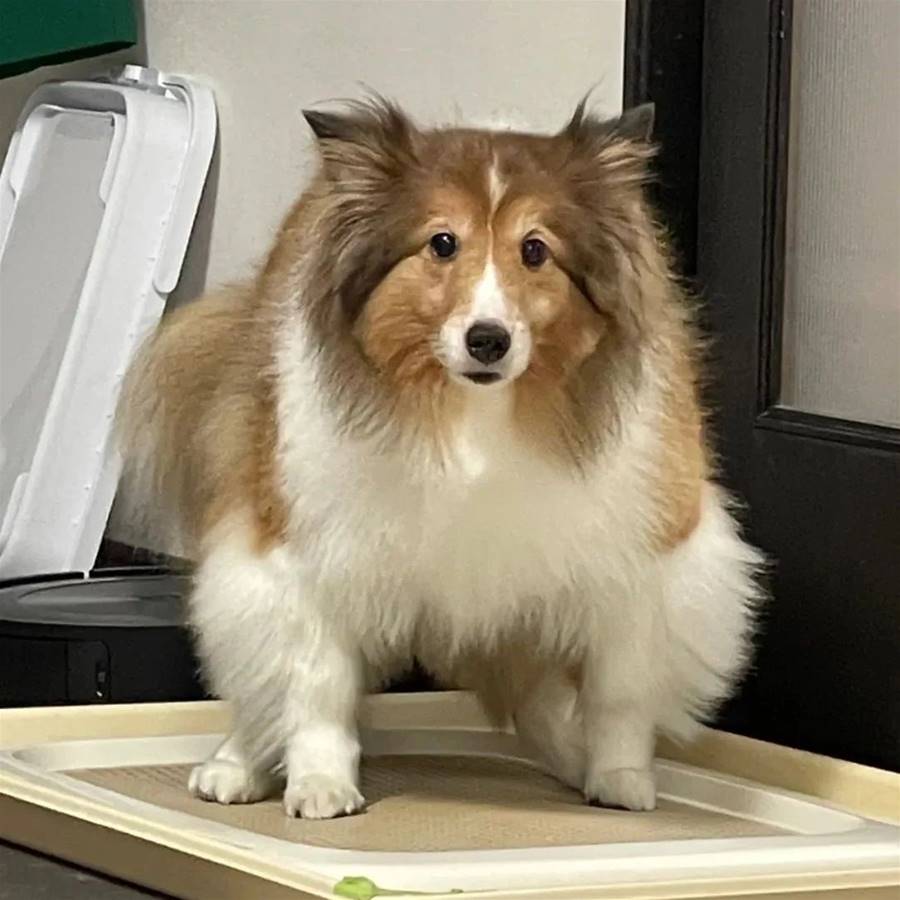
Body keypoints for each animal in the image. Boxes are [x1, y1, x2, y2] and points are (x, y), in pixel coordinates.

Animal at [116, 96, 761, 818]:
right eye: (442, 243)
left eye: (535, 250)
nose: (488, 340)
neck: (474, 415)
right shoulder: (312, 554)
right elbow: (316, 683)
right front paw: (320, 785)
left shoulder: (639, 564)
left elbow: (619, 692)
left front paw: (620, 778)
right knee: (263, 674)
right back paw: (235, 767)